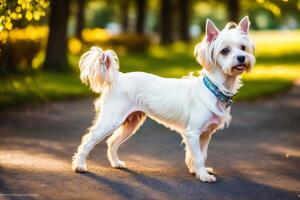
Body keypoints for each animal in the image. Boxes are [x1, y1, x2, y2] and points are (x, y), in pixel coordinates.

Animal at [72, 16, 255, 183]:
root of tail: (118, 77)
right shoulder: (193, 133)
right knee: (88, 141)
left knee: (112, 142)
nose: (241, 58)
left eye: (243, 47)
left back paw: (116, 163)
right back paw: (79, 166)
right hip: (111, 120)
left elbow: (200, 155)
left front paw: (196, 170)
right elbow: (197, 156)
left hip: (131, 122)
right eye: (225, 51)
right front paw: (203, 175)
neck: (214, 88)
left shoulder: (205, 134)